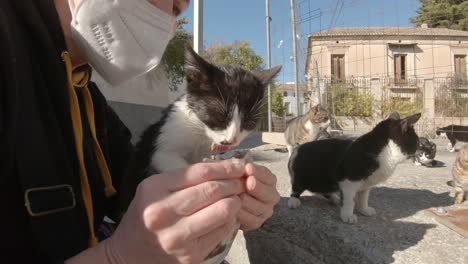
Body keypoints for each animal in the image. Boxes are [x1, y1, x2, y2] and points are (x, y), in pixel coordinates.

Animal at [135, 46, 282, 176]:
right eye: (218, 116)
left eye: (248, 123)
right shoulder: (163, 143)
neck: (201, 131)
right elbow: (169, 161)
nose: (230, 141)